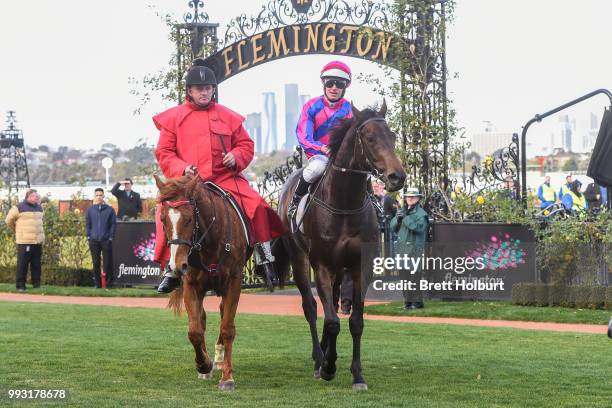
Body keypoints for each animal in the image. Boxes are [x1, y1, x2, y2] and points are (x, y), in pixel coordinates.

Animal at [155, 174, 251, 390]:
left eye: (189, 219)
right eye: (163, 219)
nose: (176, 266)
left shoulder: (234, 283)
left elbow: (227, 328)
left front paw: (227, 377)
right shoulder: (191, 286)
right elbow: (195, 330)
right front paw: (203, 364)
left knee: (224, 316)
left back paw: (220, 358)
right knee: (202, 319)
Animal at [274, 101, 408, 388]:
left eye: (392, 136)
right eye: (370, 138)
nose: (397, 177)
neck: (344, 204)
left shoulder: (360, 267)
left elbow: (355, 321)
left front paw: (357, 374)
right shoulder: (322, 265)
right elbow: (332, 321)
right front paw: (328, 367)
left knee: (333, 304)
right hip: (300, 259)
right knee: (312, 308)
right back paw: (319, 359)